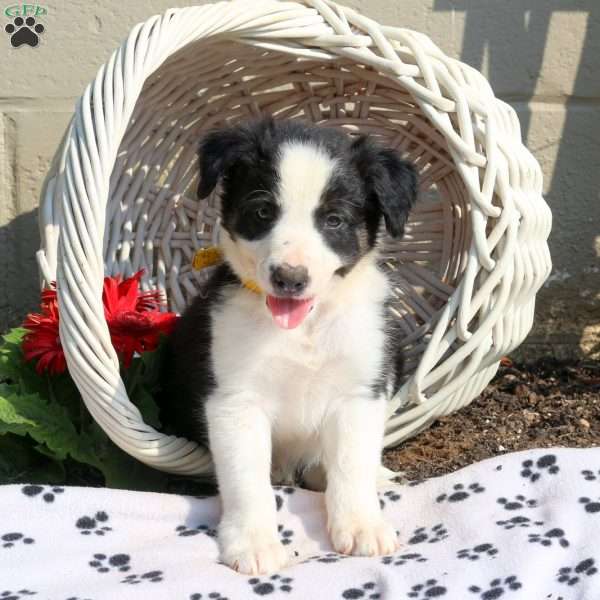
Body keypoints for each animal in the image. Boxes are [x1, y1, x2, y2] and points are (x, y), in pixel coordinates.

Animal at [159, 116, 418, 572]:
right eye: (263, 211)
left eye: (334, 220)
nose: (290, 279)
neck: (304, 328)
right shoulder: (235, 400)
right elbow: (247, 479)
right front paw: (253, 543)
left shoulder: (360, 393)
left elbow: (352, 463)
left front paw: (363, 525)